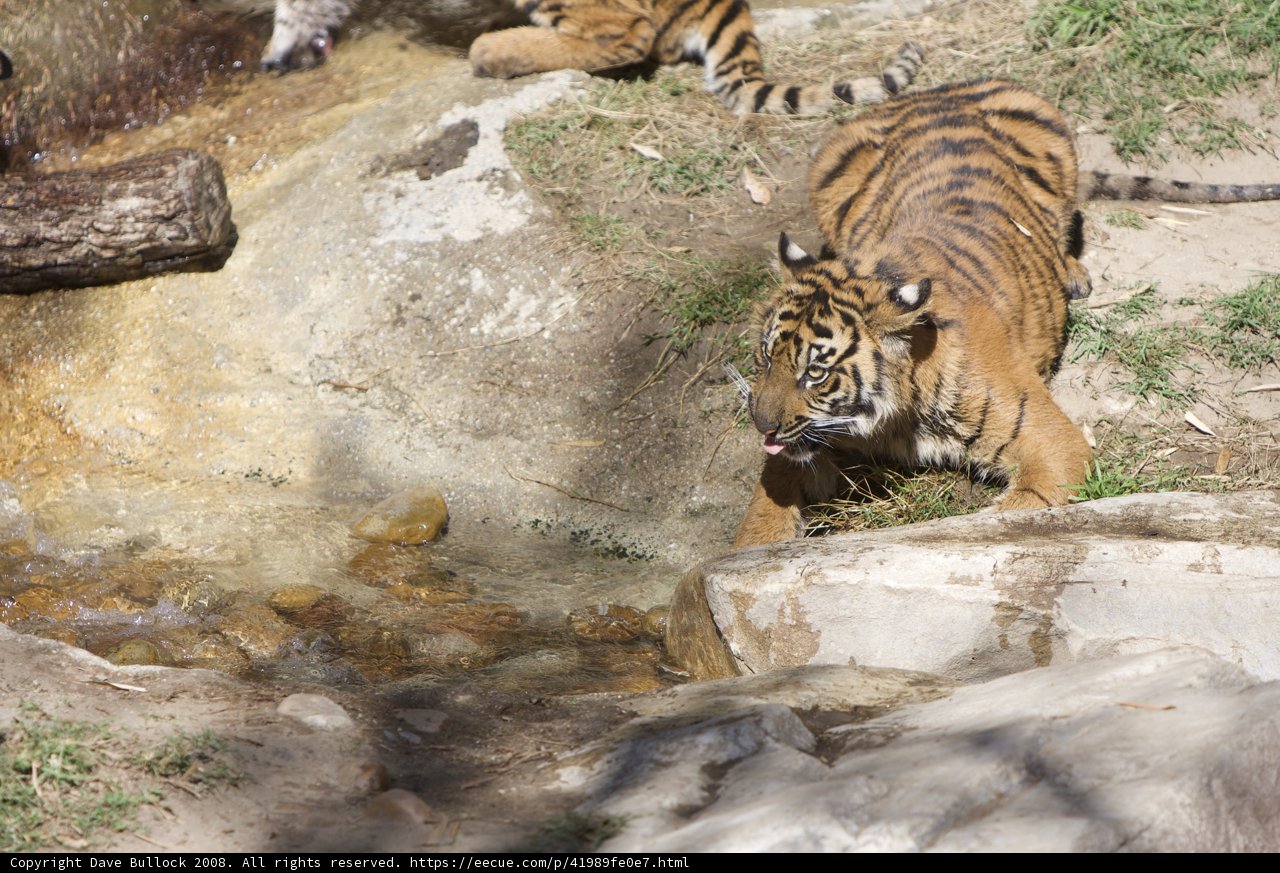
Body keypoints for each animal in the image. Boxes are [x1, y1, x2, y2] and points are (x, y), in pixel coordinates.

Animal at [733, 77, 1280, 548]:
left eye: (816, 373)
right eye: (764, 359)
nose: (761, 425)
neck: (894, 416)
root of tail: (935, 91)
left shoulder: (1054, 446)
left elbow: (1007, 517)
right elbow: (767, 496)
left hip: (1052, 130)